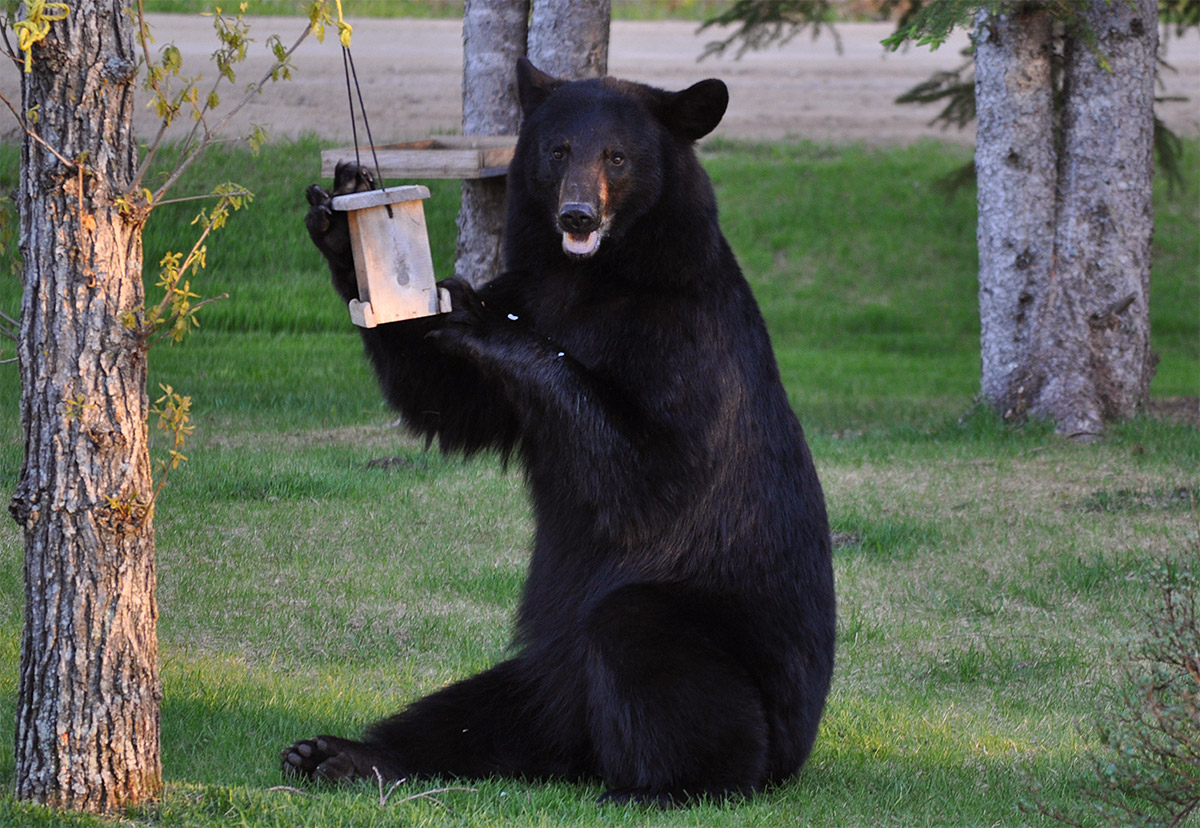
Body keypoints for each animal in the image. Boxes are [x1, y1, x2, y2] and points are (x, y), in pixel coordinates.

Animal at [281, 57, 836, 806]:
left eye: (618, 157)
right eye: (557, 150)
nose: (578, 214)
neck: (588, 280)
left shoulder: (686, 339)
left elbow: (651, 469)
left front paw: (477, 315)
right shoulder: (533, 290)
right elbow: (454, 402)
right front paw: (349, 225)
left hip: (731, 667)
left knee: (643, 644)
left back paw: (660, 786)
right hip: (542, 675)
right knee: (474, 714)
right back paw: (341, 755)